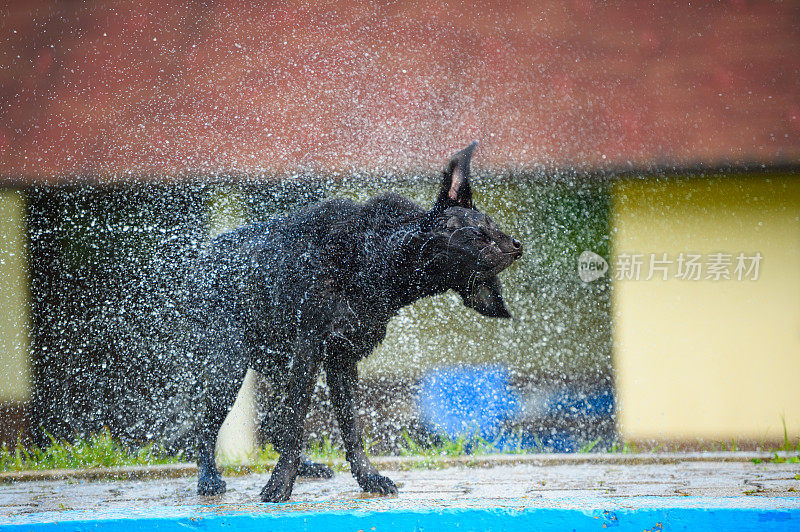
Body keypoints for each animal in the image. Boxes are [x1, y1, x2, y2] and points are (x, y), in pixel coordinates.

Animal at [190, 141, 520, 498]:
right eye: (481, 230)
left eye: (495, 226)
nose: (517, 245)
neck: (374, 259)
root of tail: (203, 257)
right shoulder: (311, 349)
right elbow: (297, 424)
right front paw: (279, 484)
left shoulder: (341, 355)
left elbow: (350, 427)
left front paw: (368, 477)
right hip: (229, 367)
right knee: (206, 426)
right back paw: (208, 479)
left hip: (274, 364)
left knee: (273, 422)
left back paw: (306, 467)